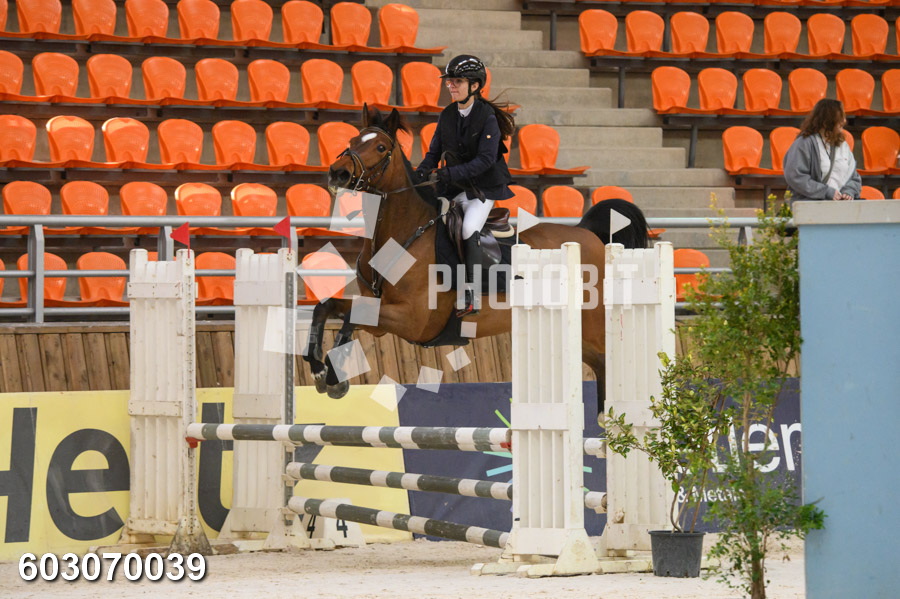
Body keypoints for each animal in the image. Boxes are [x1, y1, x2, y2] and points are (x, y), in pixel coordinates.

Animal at [303, 106, 650, 415]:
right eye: (352, 140)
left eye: (380, 147)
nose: (338, 173)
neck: (399, 237)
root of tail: (586, 234)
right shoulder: (380, 319)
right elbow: (331, 309)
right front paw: (322, 371)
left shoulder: (411, 320)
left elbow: (349, 315)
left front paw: (328, 372)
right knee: (600, 364)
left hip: (593, 324)